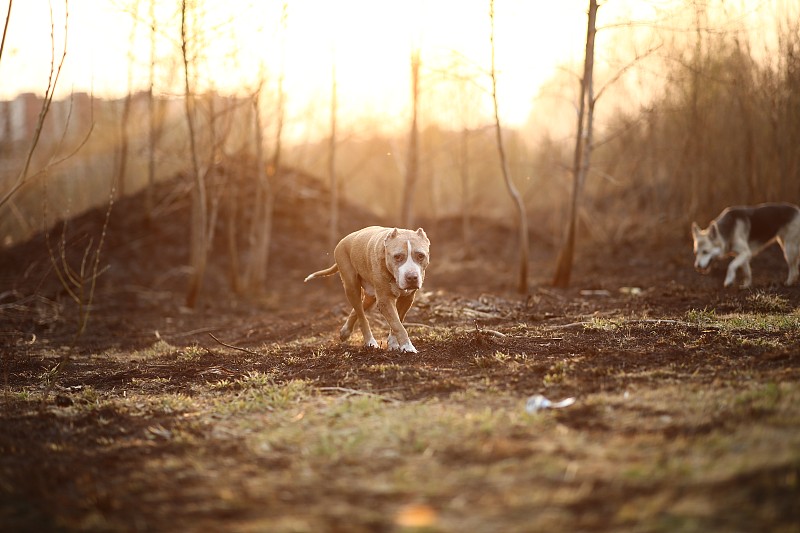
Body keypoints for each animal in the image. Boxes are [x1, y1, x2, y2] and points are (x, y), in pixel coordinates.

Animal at [304, 227, 432, 352]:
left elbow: (398, 320)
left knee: (357, 310)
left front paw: (393, 343)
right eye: (397, 256)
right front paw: (408, 347)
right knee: (361, 316)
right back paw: (370, 342)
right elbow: (398, 325)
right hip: (352, 287)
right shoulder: (385, 301)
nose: (412, 277)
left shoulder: (407, 299)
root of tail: (344, 240)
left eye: (421, 256)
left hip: (371, 295)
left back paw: (345, 331)